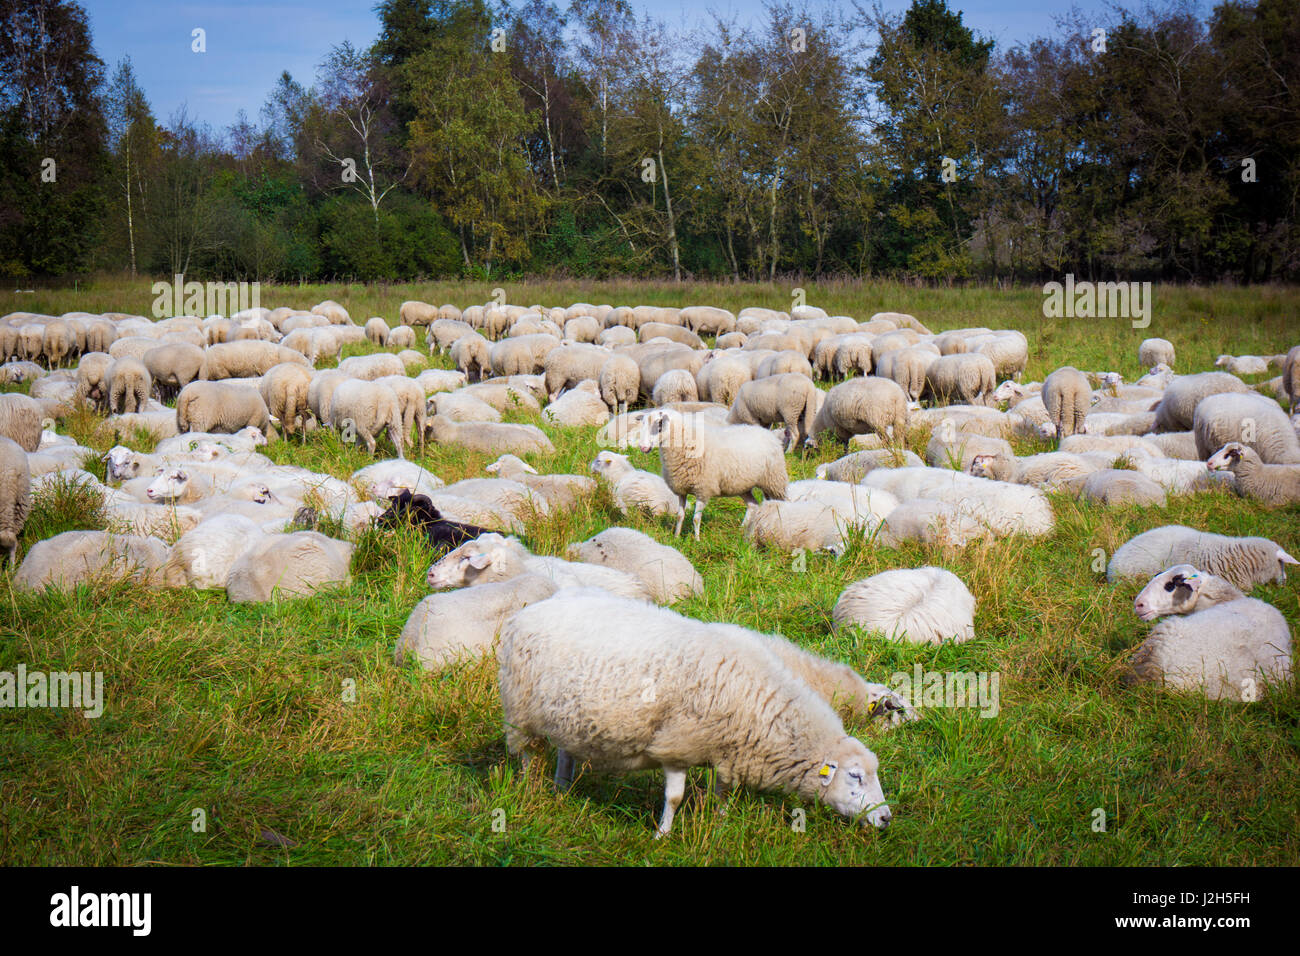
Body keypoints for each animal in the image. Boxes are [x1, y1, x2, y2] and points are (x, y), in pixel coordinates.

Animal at [497, 589, 894, 835]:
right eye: (855, 776)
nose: (887, 819)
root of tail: (531, 609)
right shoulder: (678, 744)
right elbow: (674, 797)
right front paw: (662, 835)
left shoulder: (726, 748)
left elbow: (723, 790)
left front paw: (720, 822)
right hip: (520, 710)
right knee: (527, 755)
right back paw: (530, 788)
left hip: (566, 713)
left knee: (565, 749)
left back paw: (562, 788)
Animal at [639, 408, 787, 540]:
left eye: (659, 426)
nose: (643, 447)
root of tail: (768, 433)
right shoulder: (681, 490)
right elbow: (680, 516)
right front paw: (676, 537)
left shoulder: (703, 490)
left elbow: (696, 518)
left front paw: (697, 540)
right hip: (742, 485)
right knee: (753, 505)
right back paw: (741, 529)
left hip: (775, 480)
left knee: (781, 504)